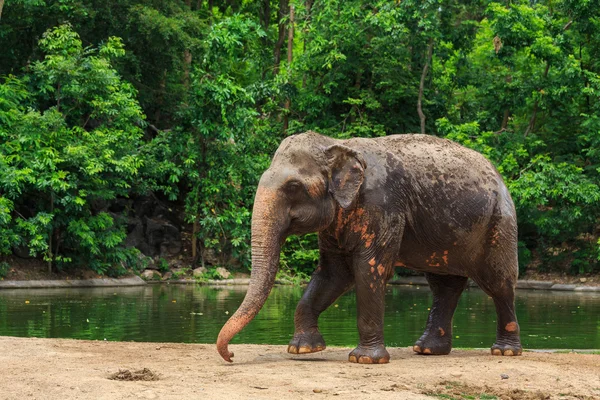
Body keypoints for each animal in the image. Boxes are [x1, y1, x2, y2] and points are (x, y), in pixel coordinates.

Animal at [216, 132, 520, 366]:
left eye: (293, 186)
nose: (231, 355)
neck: (337, 144)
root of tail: (499, 176)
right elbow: (333, 274)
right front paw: (303, 349)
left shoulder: (383, 206)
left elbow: (368, 269)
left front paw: (365, 359)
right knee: (444, 286)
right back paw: (427, 350)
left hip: (499, 224)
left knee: (498, 283)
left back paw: (503, 351)